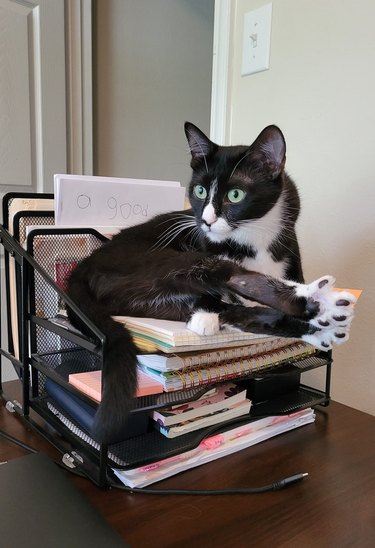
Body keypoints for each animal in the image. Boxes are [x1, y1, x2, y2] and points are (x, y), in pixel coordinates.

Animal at [66, 122, 356, 444]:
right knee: (227, 278)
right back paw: (321, 305)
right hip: (156, 260)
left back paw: (321, 324)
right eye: (200, 190)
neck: (254, 240)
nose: (205, 221)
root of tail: (85, 263)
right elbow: (238, 283)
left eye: (236, 194)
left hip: (132, 292)